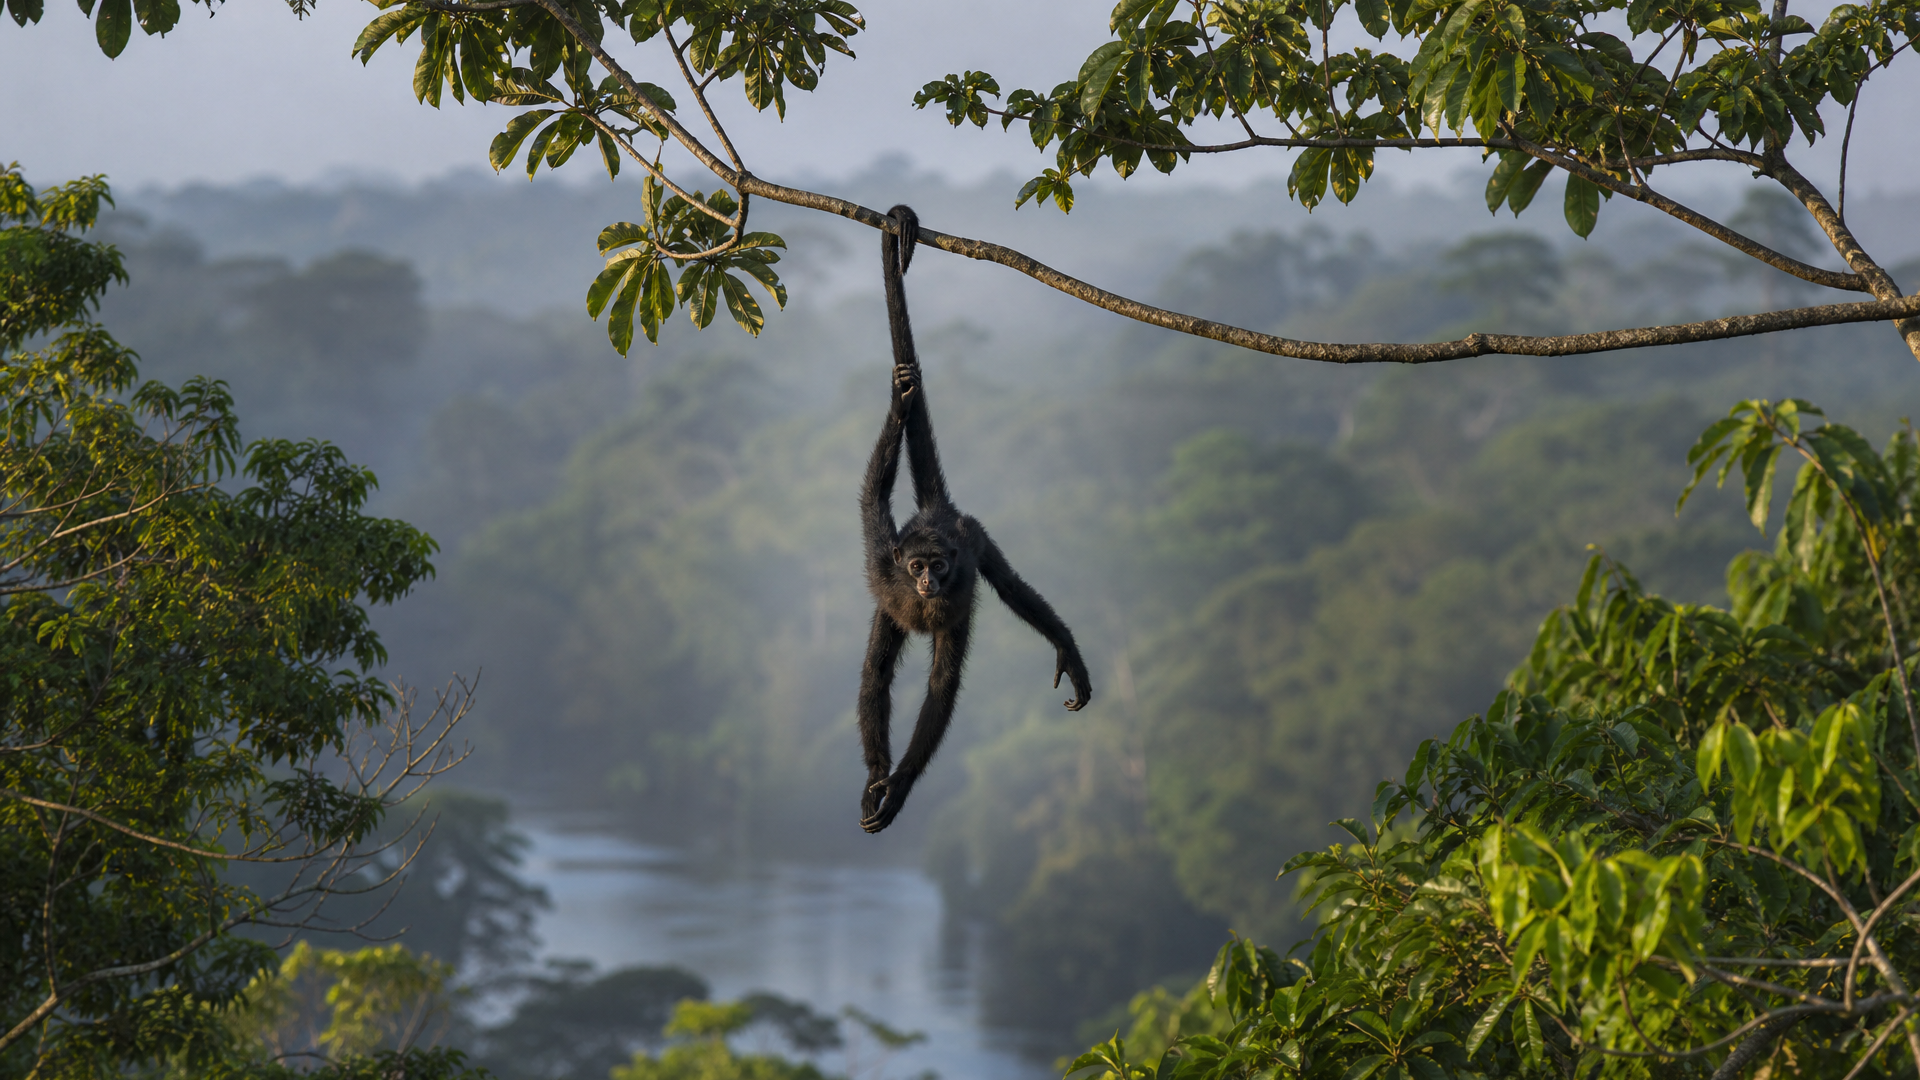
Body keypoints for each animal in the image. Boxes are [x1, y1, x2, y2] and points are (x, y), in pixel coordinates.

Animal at [856, 204, 1092, 835]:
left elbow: (946, 681)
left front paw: (901, 786)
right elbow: (872, 495)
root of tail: (938, 513)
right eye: (916, 565)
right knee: (878, 670)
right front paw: (898, 406)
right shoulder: (883, 558)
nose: (926, 582)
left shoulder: (965, 555)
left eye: (938, 567)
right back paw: (876, 774)